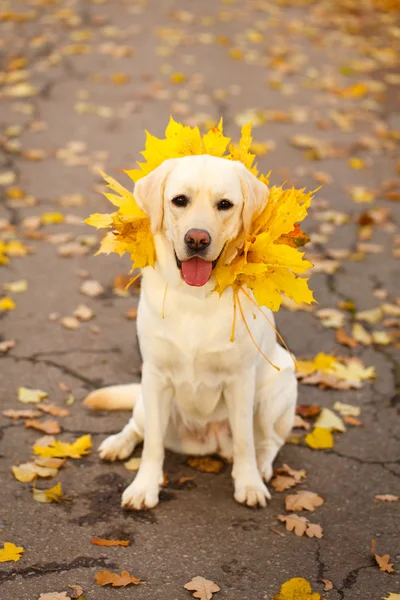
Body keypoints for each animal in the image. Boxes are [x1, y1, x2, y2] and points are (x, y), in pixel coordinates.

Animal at [84, 156, 296, 510]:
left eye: (224, 204)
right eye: (179, 200)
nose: (197, 239)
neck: (195, 297)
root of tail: (207, 441)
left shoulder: (240, 380)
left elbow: (245, 442)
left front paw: (249, 483)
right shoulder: (155, 376)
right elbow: (153, 446)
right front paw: (144, 486)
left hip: (277, 390)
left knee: (268, 441)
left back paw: (263, 468)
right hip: (146, 400)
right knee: (137, 427)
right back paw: (117, 444)